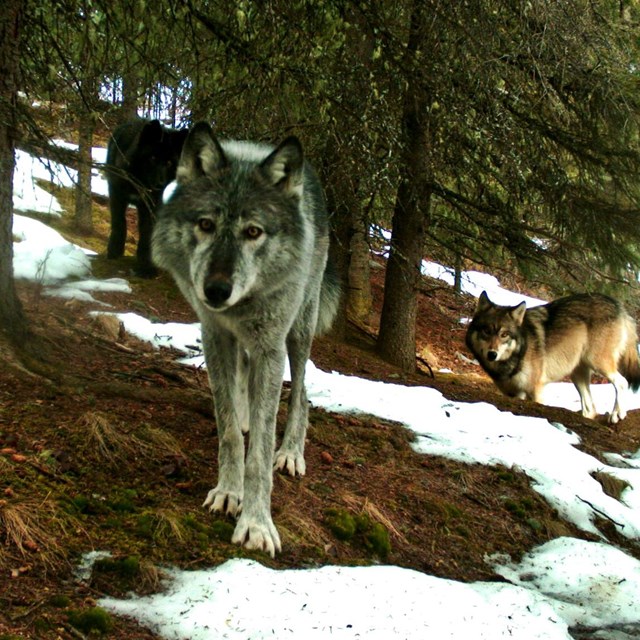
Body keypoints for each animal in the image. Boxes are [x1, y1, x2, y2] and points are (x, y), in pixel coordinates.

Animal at [105, 119, 189, 276]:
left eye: (169, 163)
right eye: (153, 158)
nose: (160, 184)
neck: (139, 182)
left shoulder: (151, 205)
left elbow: (146, 233)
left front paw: (146, 268)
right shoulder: (116, 195)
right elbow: (119, 223)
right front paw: (114, 251)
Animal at [151, 121, 340, 556]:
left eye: (253, 232)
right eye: (206, 225)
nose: (216, 290)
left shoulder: (271, 347)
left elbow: (260, 454)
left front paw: (256, 523)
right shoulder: (215, 334)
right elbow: (229, 432)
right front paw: (228, 492)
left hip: (298, 334)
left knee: (302, 393)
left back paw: (290, 453)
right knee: (244, 391)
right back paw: (245, 414)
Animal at [464, 292, 640, 424]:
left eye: (504, 334)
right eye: (486, 331)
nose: (492, 354)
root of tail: (619, 306)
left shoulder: (536, 391)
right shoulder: (515, 394)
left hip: (597, 363)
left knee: (622, 382)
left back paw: (617, 415)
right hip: (578, 374)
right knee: (591, 409)